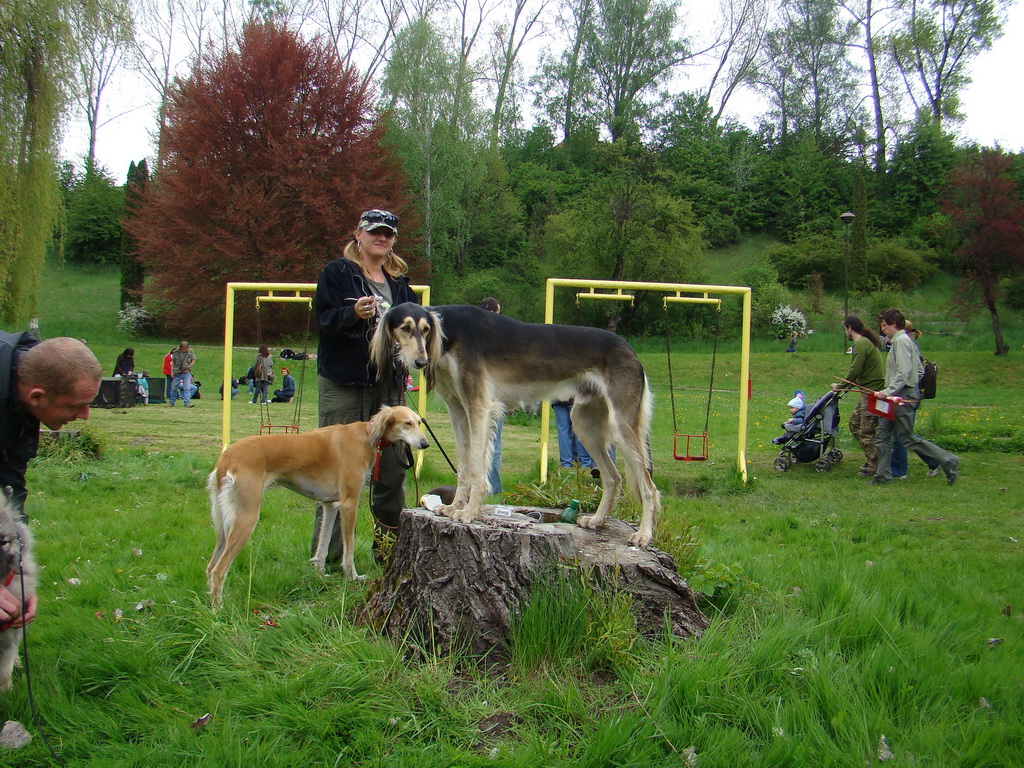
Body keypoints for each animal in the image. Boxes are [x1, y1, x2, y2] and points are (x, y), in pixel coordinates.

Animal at [203, 405, 428, 610]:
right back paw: (218, 611)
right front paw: (352, 577)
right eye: (407, 423)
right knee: (218, 570)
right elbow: (349, 548)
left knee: (210, 566)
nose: (425, 443)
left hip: (224, 522)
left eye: (419, 422)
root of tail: (225, 458)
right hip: (246, 517)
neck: (365, 435)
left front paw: (320, 575)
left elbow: (323, 544)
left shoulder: (330, 505)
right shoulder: (349, 503)